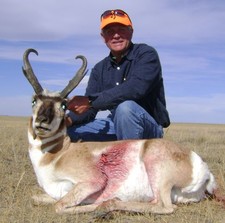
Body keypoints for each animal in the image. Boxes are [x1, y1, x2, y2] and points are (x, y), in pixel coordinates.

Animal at [22, 48, 217, 214]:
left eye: (63, 105)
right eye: (34, 100)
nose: (42, 121)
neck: (59, 154)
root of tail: (201, 166)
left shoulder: (92, 182)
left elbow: (59, 206)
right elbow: (35, 198)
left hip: (157, 173)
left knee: (164, 207)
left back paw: (109, 203)